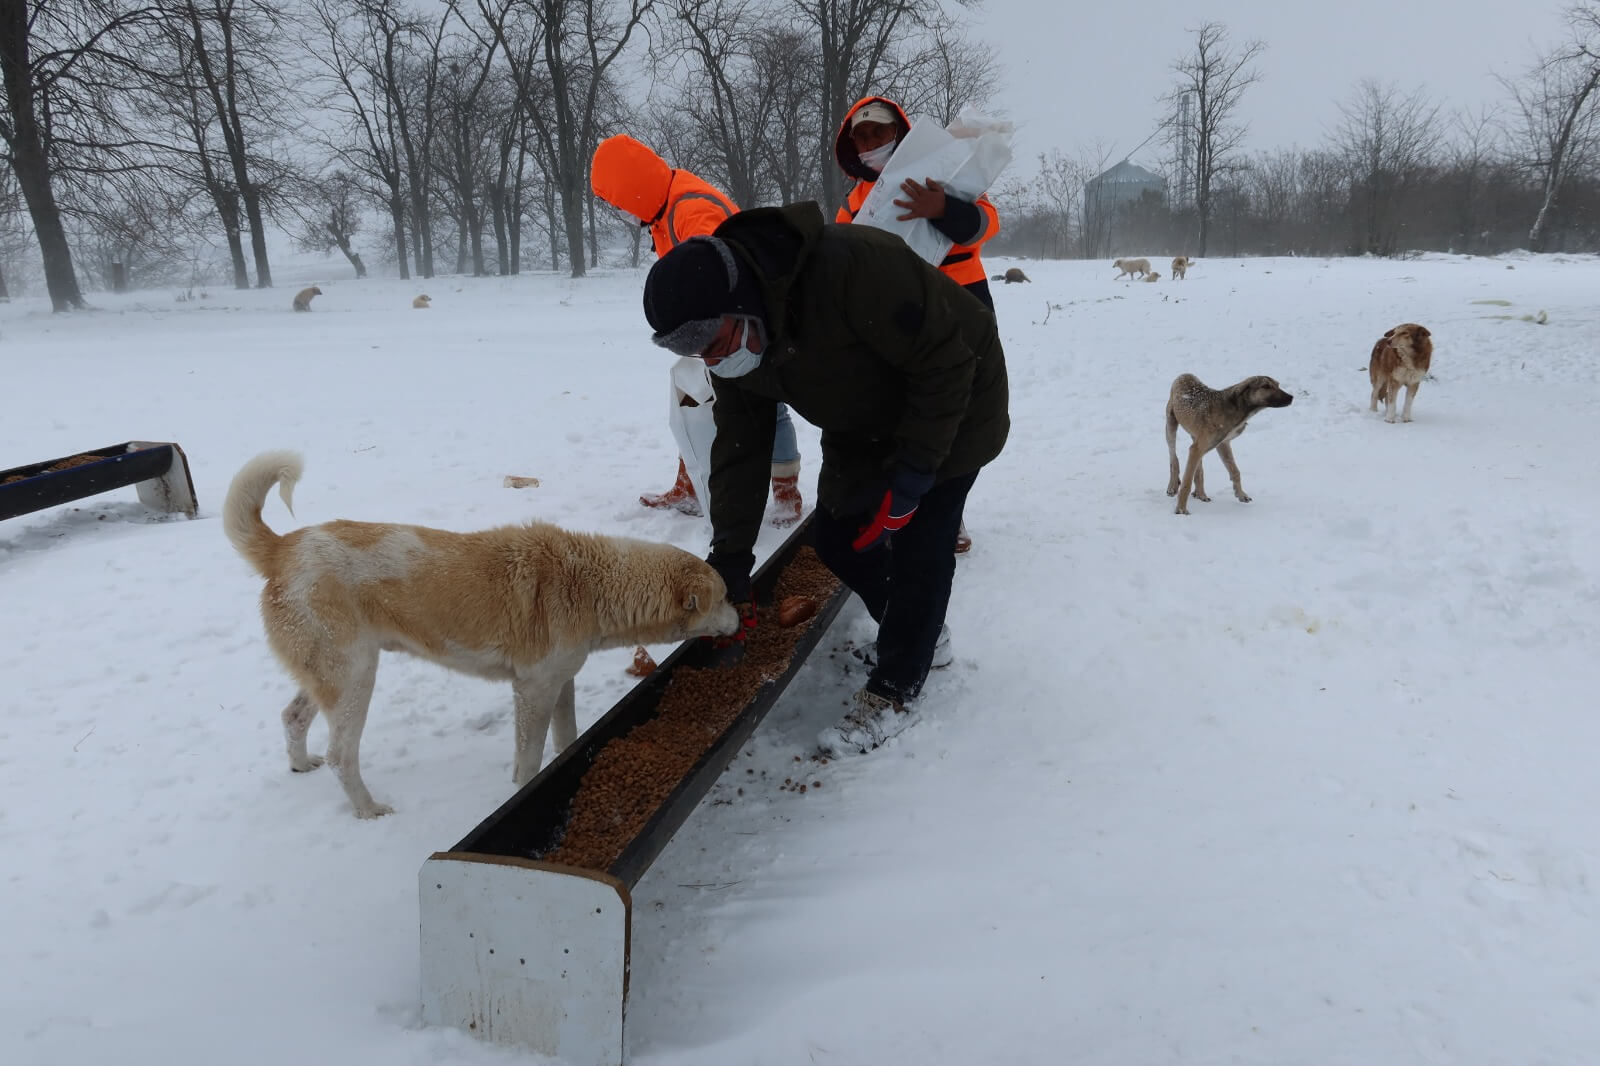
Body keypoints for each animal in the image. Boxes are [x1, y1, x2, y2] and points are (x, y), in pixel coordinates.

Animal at [222, 448, 739, 813]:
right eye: (723, 598)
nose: (741, 615)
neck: (590, 583)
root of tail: (284, 549)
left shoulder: (561, 684)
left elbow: (567, 738)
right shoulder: (532, 691)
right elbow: (529, 762)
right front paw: (524, 790)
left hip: (330, 674)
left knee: (293, 717)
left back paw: (299, 763)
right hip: (354, 678)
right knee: (340, 756)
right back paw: (369, 809)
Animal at [1171, 372, 1292, 515]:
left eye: (1278, 385)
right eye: (1266, 386)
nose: (1291, 397)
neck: (1237, 409)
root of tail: (1185, 374)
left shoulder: (1222, 444)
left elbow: (1235, 471)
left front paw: (1241, 494)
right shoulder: (1198, 448)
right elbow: (1186, 482)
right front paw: (1181, 509)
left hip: (1197, 440)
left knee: (1198, 469)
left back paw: (1201, 494)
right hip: (1171, 426)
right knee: (1173, 458)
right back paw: (1172, 486)